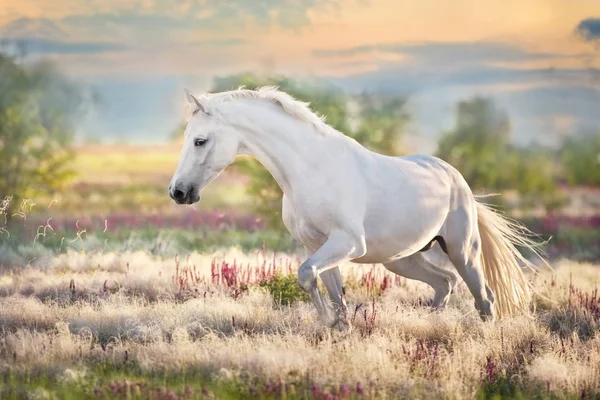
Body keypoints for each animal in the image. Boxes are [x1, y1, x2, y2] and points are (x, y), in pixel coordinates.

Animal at [166, 86, 548, 328]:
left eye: (200, 140)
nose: (178, 192)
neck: (311, 170)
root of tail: (456, 179)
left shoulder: (346, 243)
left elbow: (306, 275)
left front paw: (329, 322)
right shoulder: (317, 246)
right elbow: (330, 291)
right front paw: (337, 327)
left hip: (462, 250)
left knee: (484, 298)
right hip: (402, 259)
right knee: (444, 283)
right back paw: (431, 327)